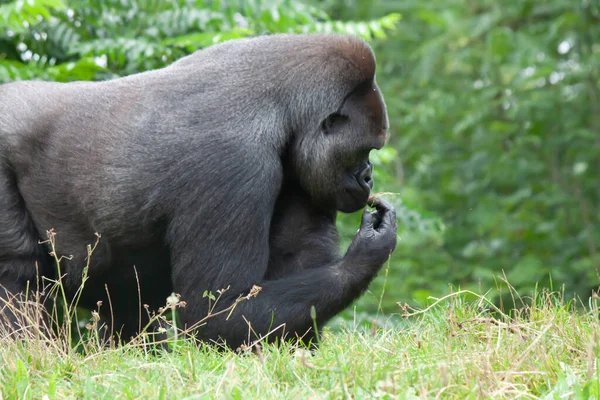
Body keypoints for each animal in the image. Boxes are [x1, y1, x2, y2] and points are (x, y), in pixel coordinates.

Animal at [0, 32, 398, 348]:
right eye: (364, 150)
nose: (368, 177)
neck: (281, 108)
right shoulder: (233, 163)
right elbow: (219, 313)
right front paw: (366, 253)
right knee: (18, 274)